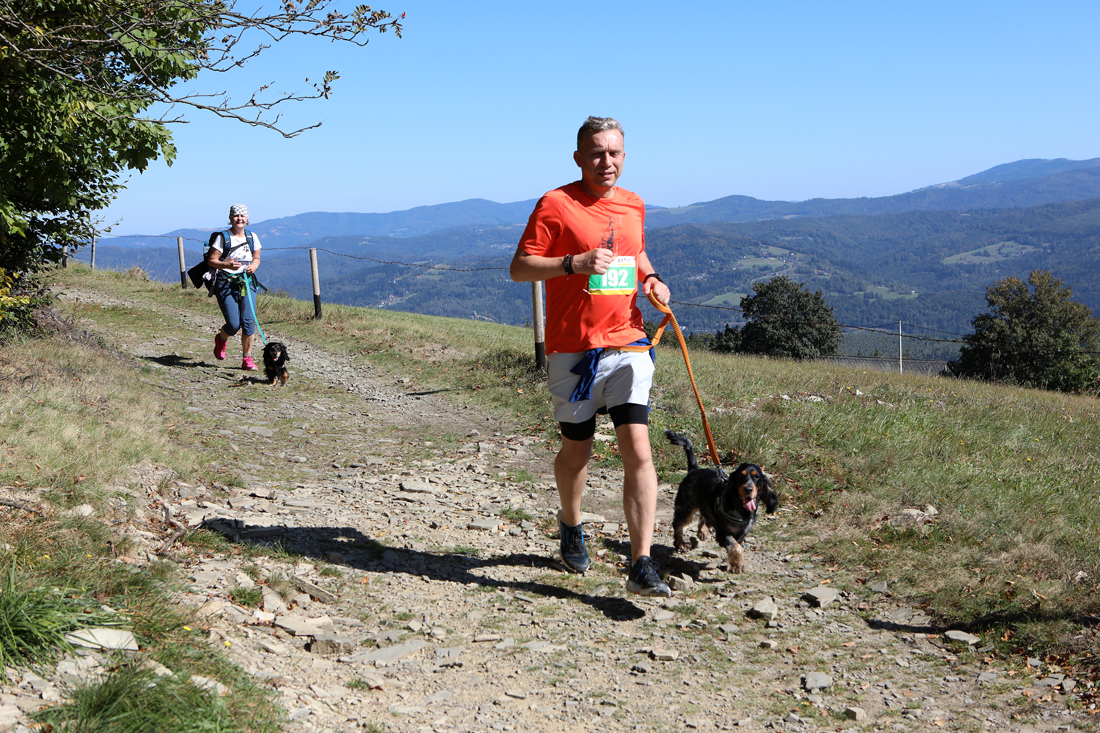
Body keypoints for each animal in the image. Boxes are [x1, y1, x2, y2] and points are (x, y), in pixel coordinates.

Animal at [664, 430, 777, 573]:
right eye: (741, 476)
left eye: (757, 477)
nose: (748, 489)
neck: (741, 510)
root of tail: (694, 469)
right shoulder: (724, 534)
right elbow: (736, 547)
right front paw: (737, 565)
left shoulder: (741, 533)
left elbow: (736, 546)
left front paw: (733, 564)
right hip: (686, 506)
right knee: (678, 524)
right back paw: (680, 543)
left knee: (704, 515)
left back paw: (702, 531)